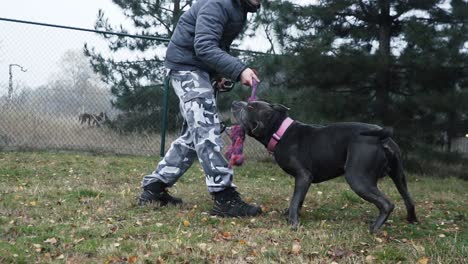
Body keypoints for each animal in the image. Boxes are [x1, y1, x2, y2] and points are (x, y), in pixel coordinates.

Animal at [232, 100, 418, 232]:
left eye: (251, 106)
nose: (235, 103)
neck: (280, 132)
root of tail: (381, 137)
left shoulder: (303, 176)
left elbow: (295, 200)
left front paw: (293, 223)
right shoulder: (304, 180)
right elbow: (299, 199)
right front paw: (292, 215)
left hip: (358, 178)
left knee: (387, 204)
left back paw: (375, 228)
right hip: (399, 176)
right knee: (409, 199)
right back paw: (412, 220)